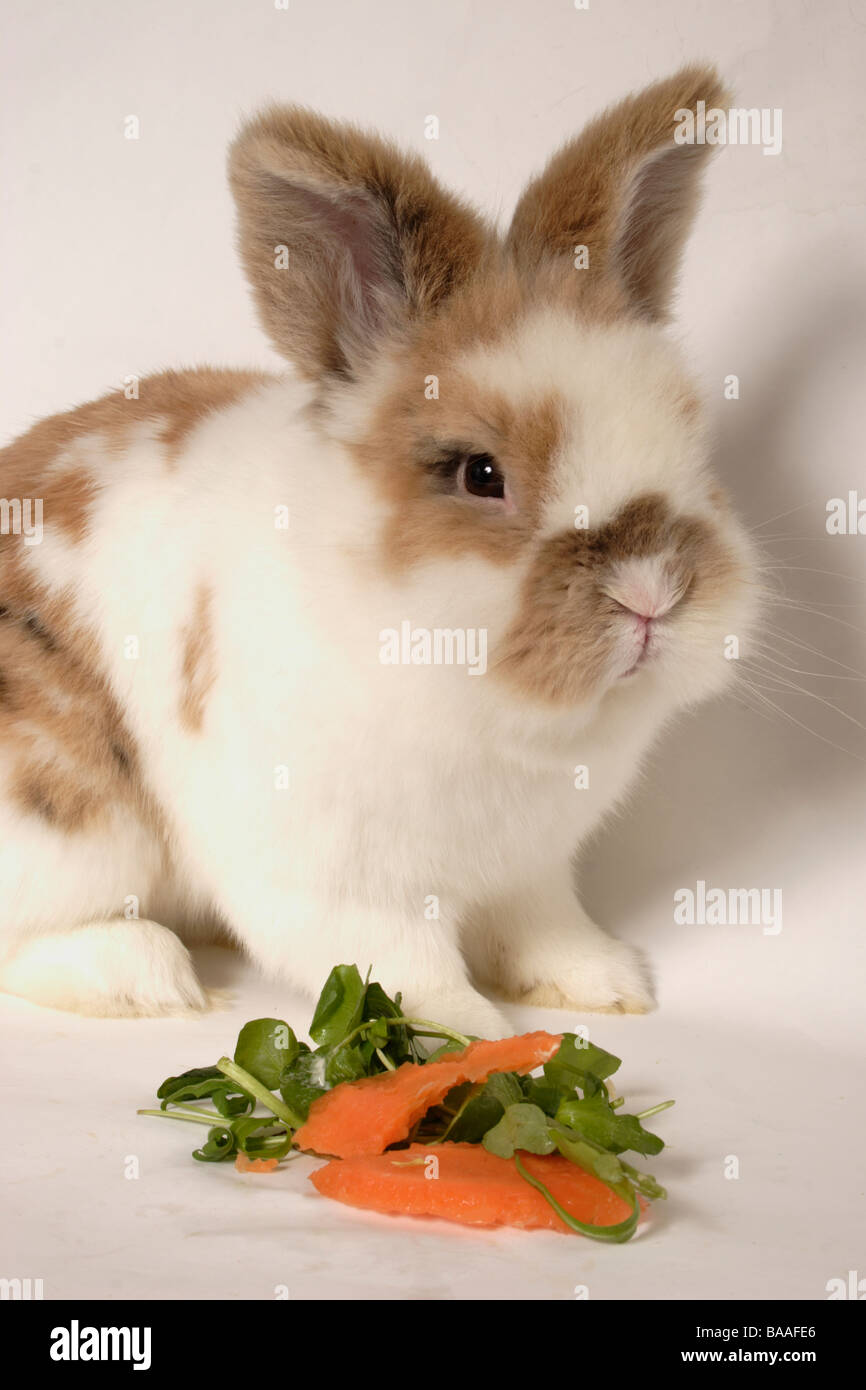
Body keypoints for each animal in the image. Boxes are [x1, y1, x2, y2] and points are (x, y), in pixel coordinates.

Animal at [0, 67, 756, 1045]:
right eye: (480, 473)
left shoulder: (531, 868)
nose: (652, 595)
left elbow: (545, 927)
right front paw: (482, 1036)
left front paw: (606, 986)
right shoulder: (338, 879)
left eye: (689, 445)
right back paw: (148, 978)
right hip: (73, 814)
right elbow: (403, 966)